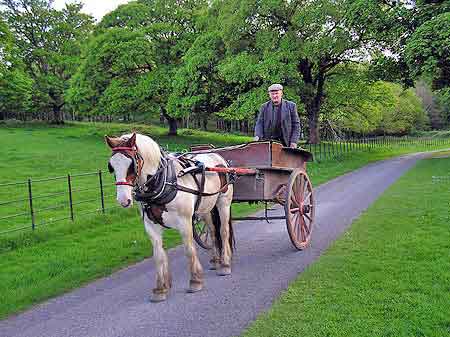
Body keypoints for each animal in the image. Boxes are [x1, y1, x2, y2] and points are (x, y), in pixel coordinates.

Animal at [103, 133, 234, 300]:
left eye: (131, 164)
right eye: (111, 166)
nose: (123, 200)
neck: (165, 181)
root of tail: (218, 156)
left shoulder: (185, 222)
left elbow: (189, 249)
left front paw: (195, 281)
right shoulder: (151, 225)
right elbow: (158, 254)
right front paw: (161, 288)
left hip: (223, 202)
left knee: (223, 232)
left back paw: (225, 264)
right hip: (205, 208)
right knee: (212, 231)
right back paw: (216, 260)